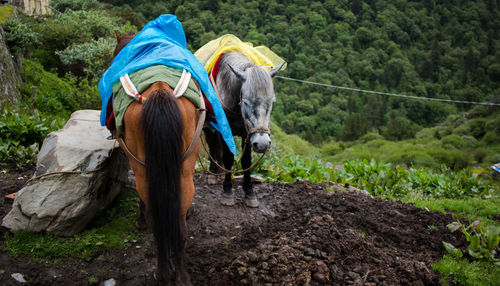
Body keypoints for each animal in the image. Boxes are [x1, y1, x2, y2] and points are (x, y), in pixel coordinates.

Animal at [112, 33, 201, 284]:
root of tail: (159, 92)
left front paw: (141, 219)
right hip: (183, 167)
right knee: (179, 226)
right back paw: (182, 275)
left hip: (143, 170)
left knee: (157, 220)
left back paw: (162, 272)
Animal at [205, 51, 286, 207]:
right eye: (246, 102)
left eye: (272, 102)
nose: (263, 144)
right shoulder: (227, 131)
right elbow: (229, 157)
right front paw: (227, 192)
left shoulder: (247, 134)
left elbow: (246, 161)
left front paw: (250, 193)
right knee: (212, 144)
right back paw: (212, 174)